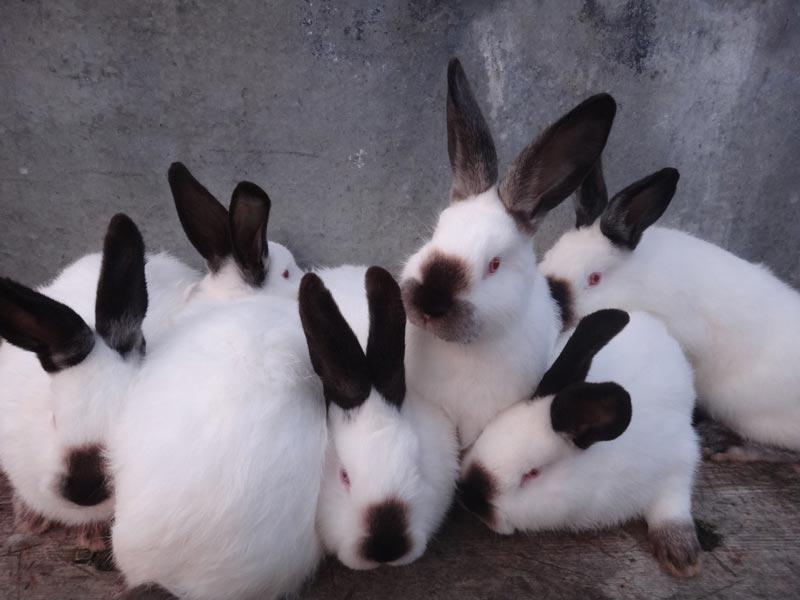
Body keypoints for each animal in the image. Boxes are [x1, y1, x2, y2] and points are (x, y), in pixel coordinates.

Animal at [459, 309, 702, 577]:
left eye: (532, 474)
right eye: (484, 432)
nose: (468, 498)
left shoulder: (678, 458)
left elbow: (672, 503)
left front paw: (681, 556)